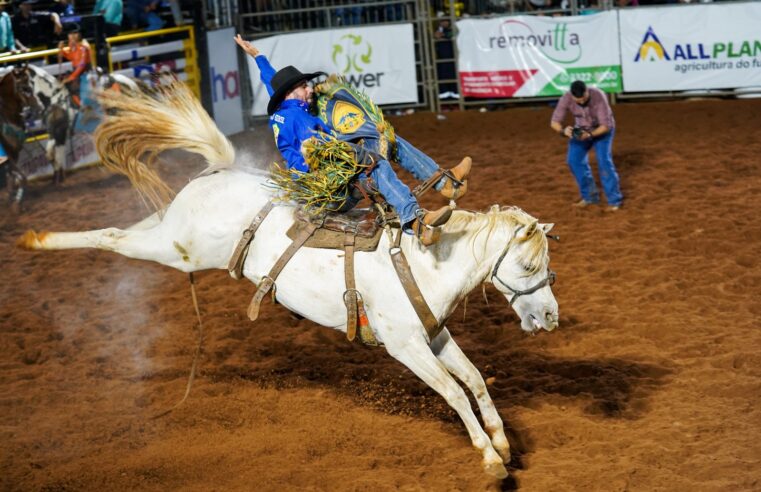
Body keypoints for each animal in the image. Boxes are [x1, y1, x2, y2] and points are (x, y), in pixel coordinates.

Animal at [17, 82, 560, 478]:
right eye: (530, 267)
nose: (551, 317)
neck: (427, 259)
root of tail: (225, 171)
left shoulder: (435, 334)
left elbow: (474, 380)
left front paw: (504, 442)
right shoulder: (405, 346)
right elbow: (452, 392)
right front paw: (489, 458)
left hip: (173, 234)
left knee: (132, 225)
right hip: (177, 249)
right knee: (112, 237)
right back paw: (37, 241)